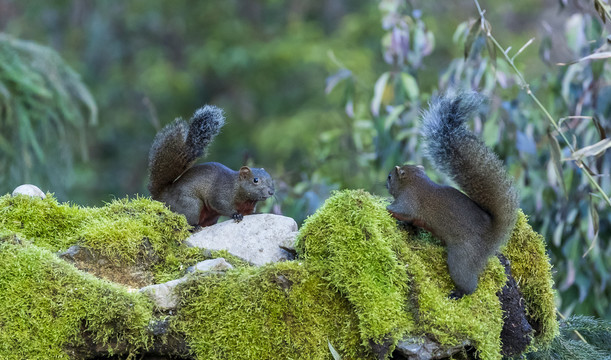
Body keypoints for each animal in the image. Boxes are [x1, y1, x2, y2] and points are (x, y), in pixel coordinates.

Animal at [384, 93, 520, 298]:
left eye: (390, 177)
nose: (385, 183)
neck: (416, 182)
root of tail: (491, 238)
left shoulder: (409, 200)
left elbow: (402, 211)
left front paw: (386, 208)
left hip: (461, 258)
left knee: (469, 283)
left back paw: (458, 293)